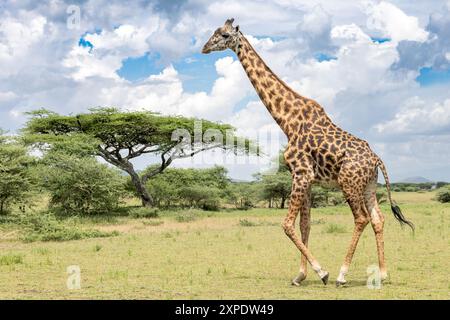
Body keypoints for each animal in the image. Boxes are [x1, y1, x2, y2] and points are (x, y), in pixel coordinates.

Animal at [201, 18, 414, 286]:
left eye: (225, 35)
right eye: (214, 32)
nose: (204, 48)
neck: (287, 122)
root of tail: (377, 159)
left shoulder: (301, 173)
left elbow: (287, 224)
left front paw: (322, 272)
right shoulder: (308, 178)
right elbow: (305, 225)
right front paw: (300, 275)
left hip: (349, 183)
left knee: (361, 218)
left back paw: (342, 275)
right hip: (369, 186)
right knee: (378, 219)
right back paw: (383, 274)